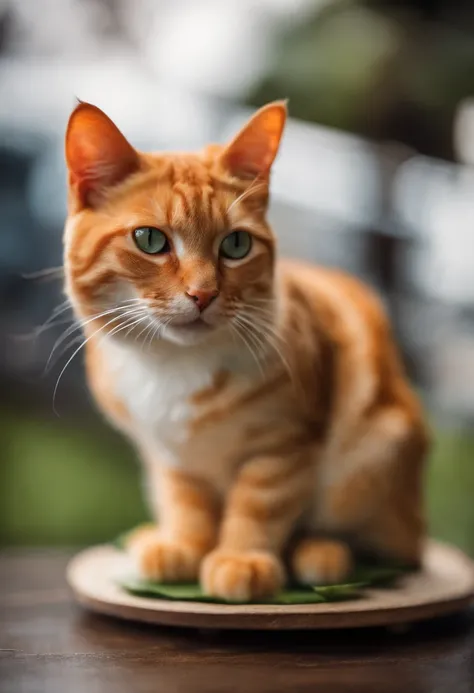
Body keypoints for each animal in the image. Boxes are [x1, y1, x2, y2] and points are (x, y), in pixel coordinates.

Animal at [63, 98, 430, 600]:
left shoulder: (286, 443)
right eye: (150, 239)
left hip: (371, 462)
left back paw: (321, 554)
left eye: (236, 244)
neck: (174, 368)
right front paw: (184, 546)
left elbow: (261, 502)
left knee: (379, 545)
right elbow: (186, 502)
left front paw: (241, 559)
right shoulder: (170, 456)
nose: (203, 294)